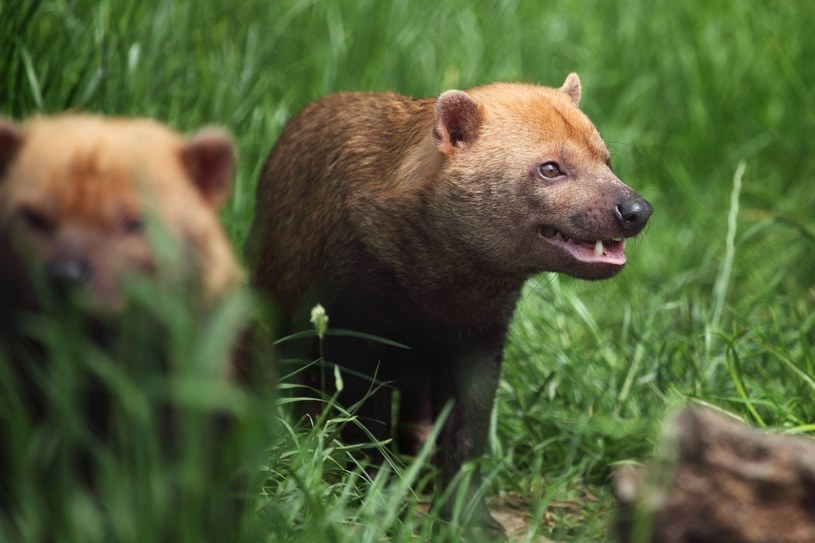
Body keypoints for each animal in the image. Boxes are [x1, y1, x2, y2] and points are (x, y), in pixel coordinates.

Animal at [245, 72, 652, 536]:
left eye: (607, 159)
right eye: (550, 168)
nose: (637, 209)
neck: (439, 295)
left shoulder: (479, 341)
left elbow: (465, 438)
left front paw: (470, 521)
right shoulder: (351, 335)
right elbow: (365, 435)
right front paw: (380, 511)